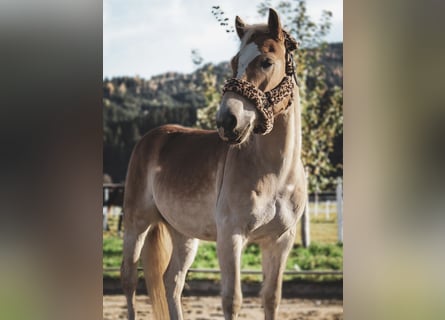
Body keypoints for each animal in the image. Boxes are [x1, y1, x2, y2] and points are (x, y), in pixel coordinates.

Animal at [121, 8, 308, 320]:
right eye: (234, 62)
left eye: (266, 61)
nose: (227, 121)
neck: (275, 174)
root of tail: (151, 138)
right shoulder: (231, 237)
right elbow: (232, 300)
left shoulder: (280, 241)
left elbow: (271, 298)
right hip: (137, 224)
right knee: (130, 280)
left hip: (183, 233)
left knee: (172, 280)